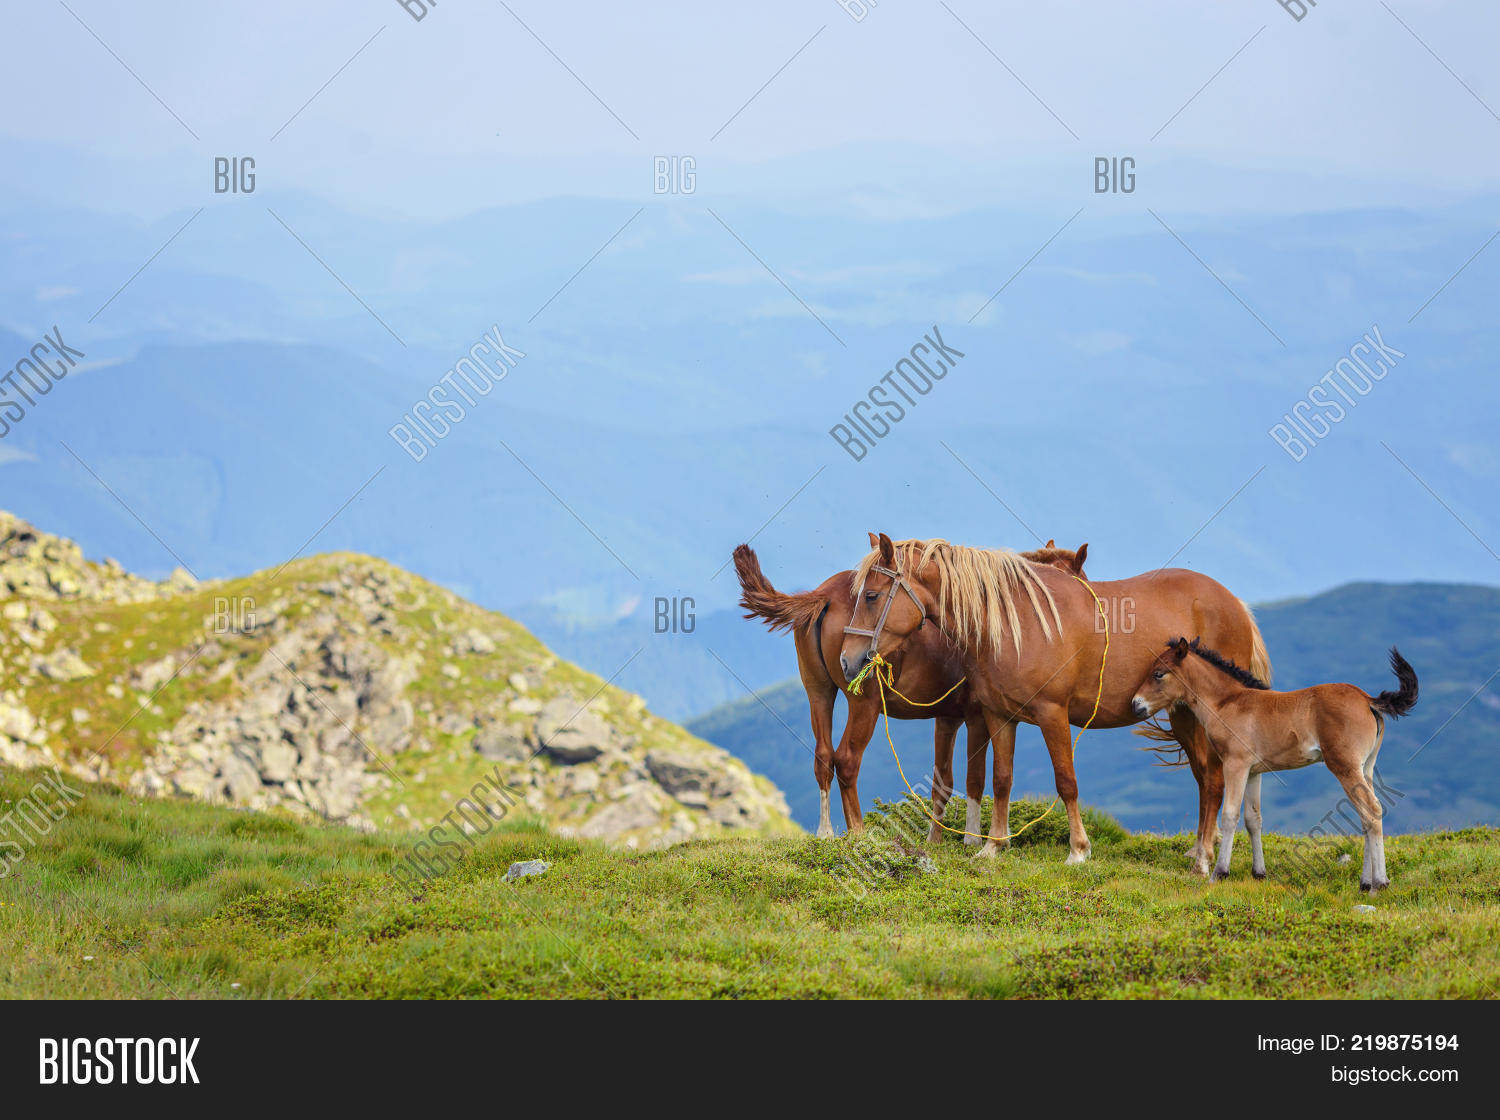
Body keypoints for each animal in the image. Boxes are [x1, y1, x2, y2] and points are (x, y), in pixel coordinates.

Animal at [733, 538, 1088, 840]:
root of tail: (826, 595)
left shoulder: (948, 717)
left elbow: (943, 781)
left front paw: (936, 840)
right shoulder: (978, 717)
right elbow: (974, 778)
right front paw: (971, 839)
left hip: (818, 692)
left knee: (823, 758)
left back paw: (826, 833)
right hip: (865, 705)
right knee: (846, 760)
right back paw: (857, 833)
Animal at [839, 533, 1271, 867]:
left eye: (872, 596)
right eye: (858, 596)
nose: (847, 659)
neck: (1014, 621)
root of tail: (1235, 604)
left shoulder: (1052, 715)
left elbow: (1066, 782)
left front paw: (1078, 849)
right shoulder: (999, 716)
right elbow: (1001, 779)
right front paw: (993, 846)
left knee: (1212, 780)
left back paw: (1205, 855)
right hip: (1183, 715)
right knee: (1205, 779)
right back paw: (1200, 849)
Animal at [1132, 638, 1417, 889]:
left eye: (1158, 673)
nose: (1136, 705)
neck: (1227, 702)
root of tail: (1368, 699)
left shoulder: (1235, 764)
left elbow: (1230, 815)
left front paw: (1219, 873)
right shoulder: (1254, 771)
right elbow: (1253, 818)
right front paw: (1259, 873)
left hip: (1345, 767)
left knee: (1371, 809)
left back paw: (1379, 883)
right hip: (1365, 768)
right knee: (1367, 815)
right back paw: (1366, 882)